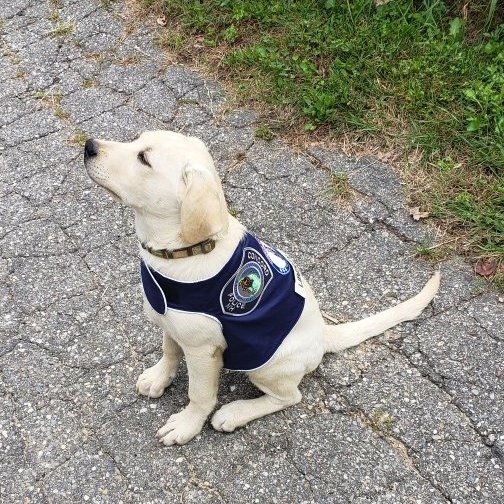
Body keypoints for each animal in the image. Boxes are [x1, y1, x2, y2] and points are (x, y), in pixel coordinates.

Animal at [82, 130, 438, 444]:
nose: (89, 146)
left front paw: (186, 425)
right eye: (137, 140)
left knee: (290, 397)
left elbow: (199, 394)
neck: (184, 251)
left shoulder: (203, 350)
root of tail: (323, 335)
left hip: (267, 364)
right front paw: (159, 378)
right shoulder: (170, 322)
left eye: (144, 158)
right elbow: (169, 352)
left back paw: (235, 412)